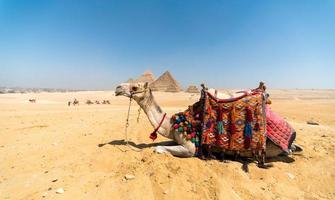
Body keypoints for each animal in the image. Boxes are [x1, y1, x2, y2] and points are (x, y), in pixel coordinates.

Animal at [116, 82, 304, 165]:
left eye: (135, 86)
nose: (118, 87)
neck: (173, 124)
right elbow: (164, 143)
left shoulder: (190, 148)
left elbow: (158, 148)